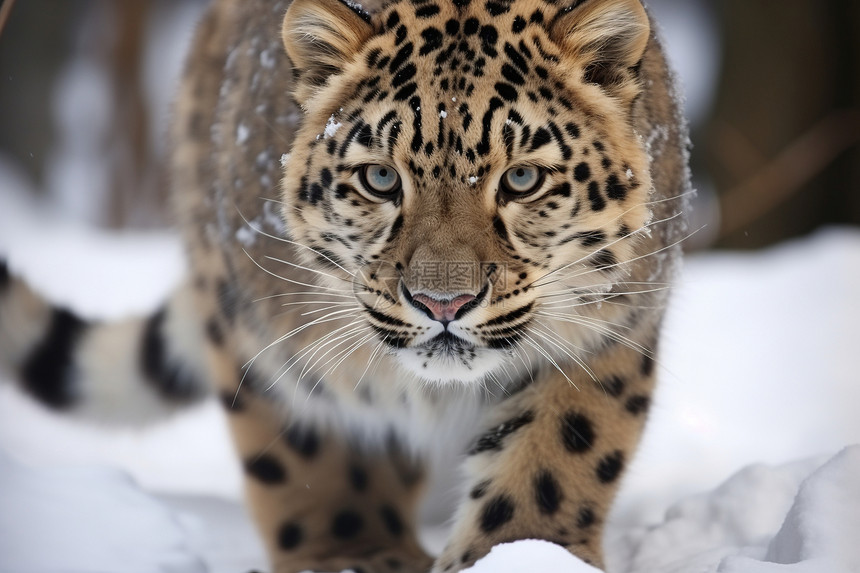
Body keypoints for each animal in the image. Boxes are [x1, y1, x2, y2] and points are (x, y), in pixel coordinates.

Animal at [0, 0, 688, 568]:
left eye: (522, 180)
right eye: (381, 179)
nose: (444, 303)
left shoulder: (610, 329)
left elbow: (553, 464)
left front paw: (520, 555)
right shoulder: (262, 333)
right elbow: (316, 459)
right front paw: (357, 556)